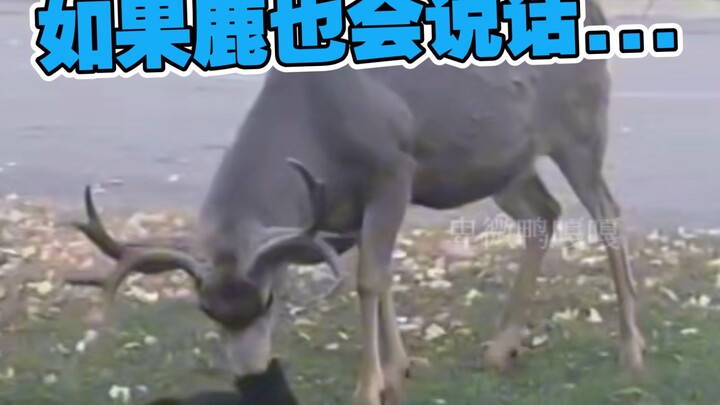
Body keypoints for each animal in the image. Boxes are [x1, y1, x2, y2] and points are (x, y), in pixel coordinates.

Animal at [61, 1, 646, 404]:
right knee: (543, 215)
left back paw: (631, 349)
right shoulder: (343, 209)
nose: (252, 376)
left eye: (268, 300)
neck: (316, 124)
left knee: (607, 213)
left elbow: (368, 279)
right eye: (206, 308)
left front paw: (370, 387)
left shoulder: (394, 169)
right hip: (504, 163)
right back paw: (503, 347)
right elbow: (378, 276)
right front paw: (397, 369)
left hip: (580, 129)